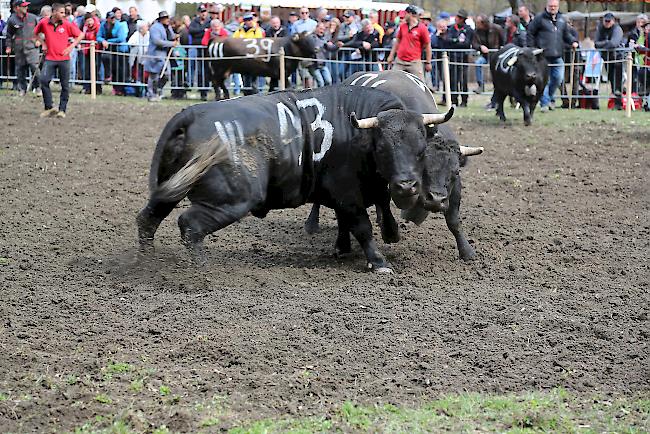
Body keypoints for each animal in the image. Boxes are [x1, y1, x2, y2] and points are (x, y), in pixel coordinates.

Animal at [136, 85, 450, 272]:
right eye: (383, 148)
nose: (406, 185)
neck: (355, 132)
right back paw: (201, 268)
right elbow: (361, 227)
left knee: (148, 219)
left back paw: (147, 261)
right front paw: (378, 261)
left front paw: (352, 245)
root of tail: (191, 114)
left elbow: (364, 217)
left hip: (172, 188)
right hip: (231, 200)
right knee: (190, 225)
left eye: (421, 149)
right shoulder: (348, 195)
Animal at [306, 70, 484, 262]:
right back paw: (312, 224)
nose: (436, 200)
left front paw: (467, 251)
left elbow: (453, 219)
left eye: (456, 171)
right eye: (422, 166)